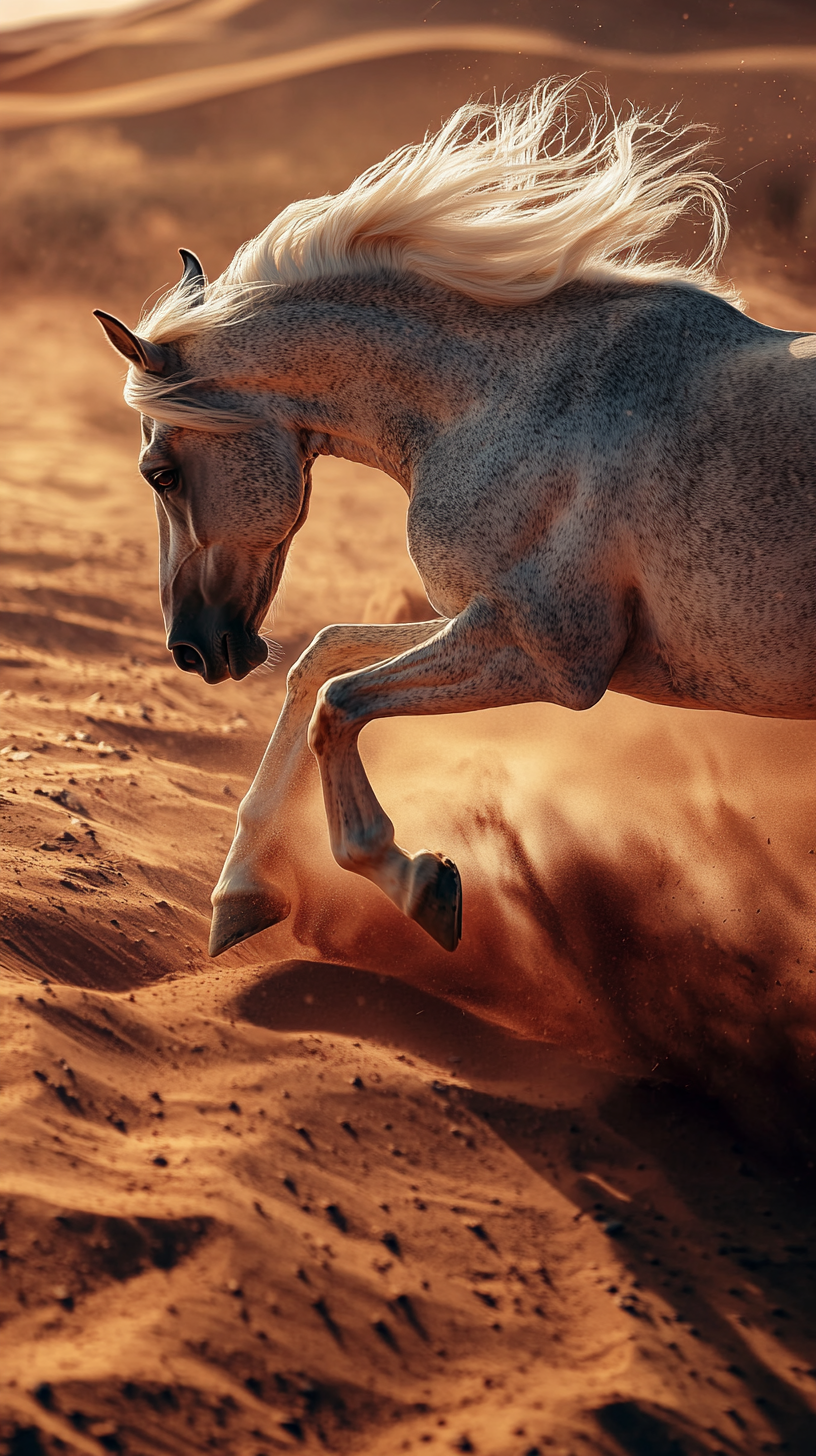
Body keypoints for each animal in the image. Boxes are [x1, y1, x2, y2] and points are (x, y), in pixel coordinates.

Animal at [93, 85, 816, 960]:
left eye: (159, 473)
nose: (192, 649)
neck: (514, 402)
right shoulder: (482, 620)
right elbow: (322, 659)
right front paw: (239, 895)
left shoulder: (549, 655)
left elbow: (337, 701)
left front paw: (419, 882)